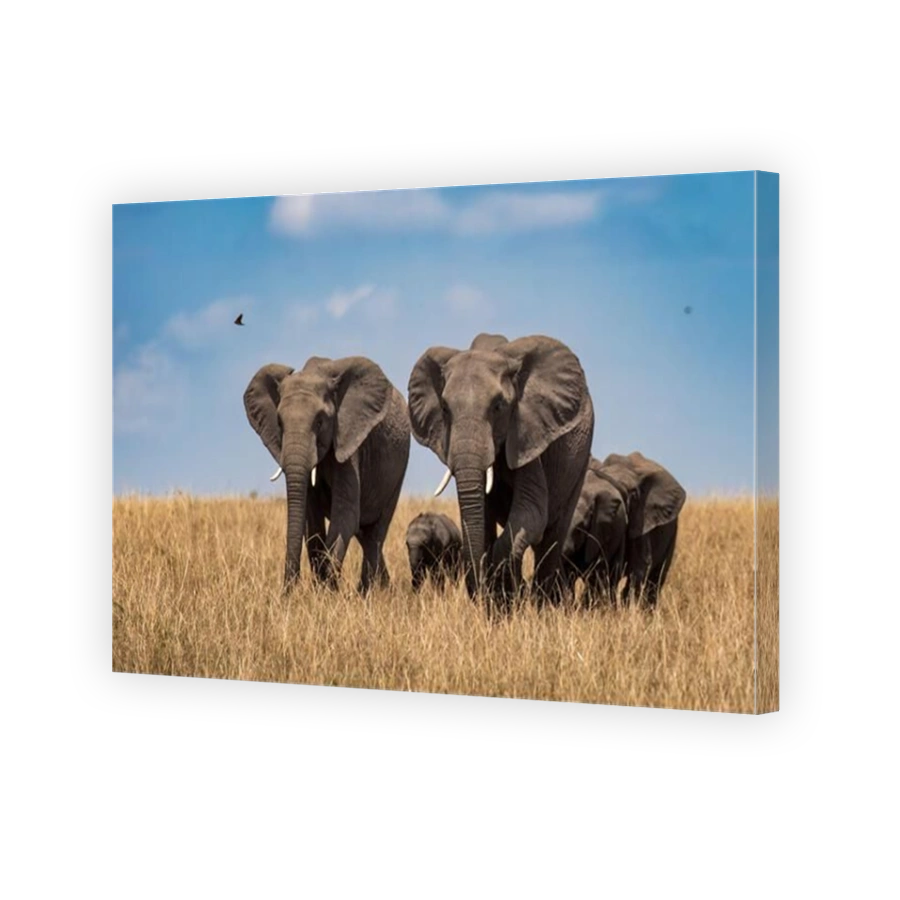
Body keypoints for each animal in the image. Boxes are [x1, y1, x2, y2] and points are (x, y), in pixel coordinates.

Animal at [243, 355, 411, 594]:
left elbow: (345, 514)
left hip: (398, 470)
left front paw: (327, 592)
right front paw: (320, 590)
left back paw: (368, 593)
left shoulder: (348, 441)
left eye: (320, 422)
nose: (287, 591)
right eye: (279, 423)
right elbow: (311, 520)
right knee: (363, 532)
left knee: (376, 532)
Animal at [408, 332, 594, 612]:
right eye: (444, 409)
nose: (478, 595)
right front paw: (496, 605)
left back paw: (543, 607)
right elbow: (482, 518)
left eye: (498, 406)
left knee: (551, 536)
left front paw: (503, 598)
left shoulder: (528, 432)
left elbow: (532, 511)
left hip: (578, 461)